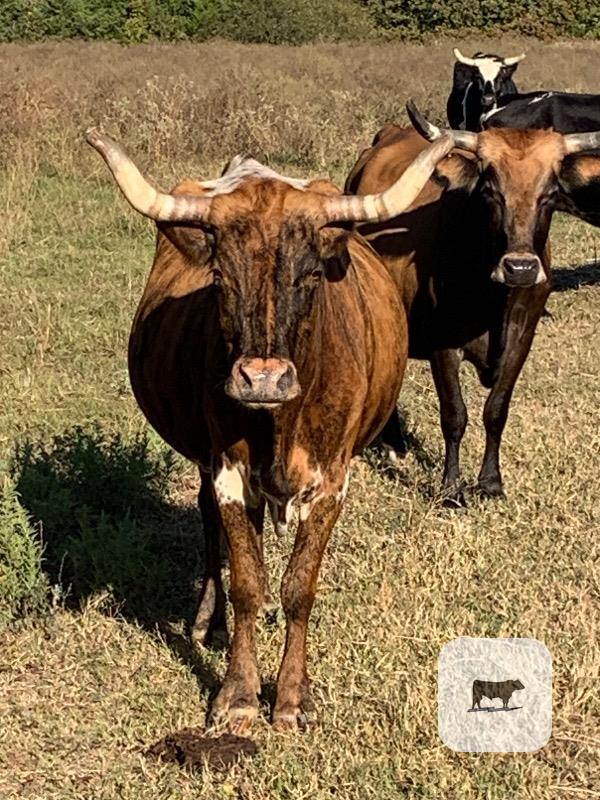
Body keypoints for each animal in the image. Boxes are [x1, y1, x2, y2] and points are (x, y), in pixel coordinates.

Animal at [86, 128, 453, 732]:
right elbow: (248, 583)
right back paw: (206, 622)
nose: (262, 378)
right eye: (220, 277)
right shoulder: (230, 473)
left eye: (311, 274)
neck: (281, 421)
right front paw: (238, 693)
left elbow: (299, 586)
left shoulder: (332, 480)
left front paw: (292, 696)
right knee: (209, 525)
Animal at [345, 101, 600, 504]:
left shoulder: (521, 341)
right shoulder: (443, 344)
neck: (494, 303)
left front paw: (491, 482)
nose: (520, 267)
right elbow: (454, 415)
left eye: (550, 193)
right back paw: (393, 442)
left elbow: (496, 410)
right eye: (491, 190)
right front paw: (451, 487)